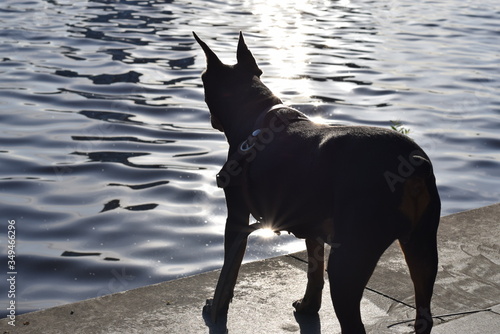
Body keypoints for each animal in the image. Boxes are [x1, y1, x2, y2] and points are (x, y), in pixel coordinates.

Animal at [193, 32, 440, 334]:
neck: (257, 114)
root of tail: (412, 163)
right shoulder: (313, 224)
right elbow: (314, 267)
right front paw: (308, 306)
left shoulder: (237, 217)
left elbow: (229, 270)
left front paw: (217, 308)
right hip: (423, 243)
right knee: (424, 315)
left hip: (351, 256)